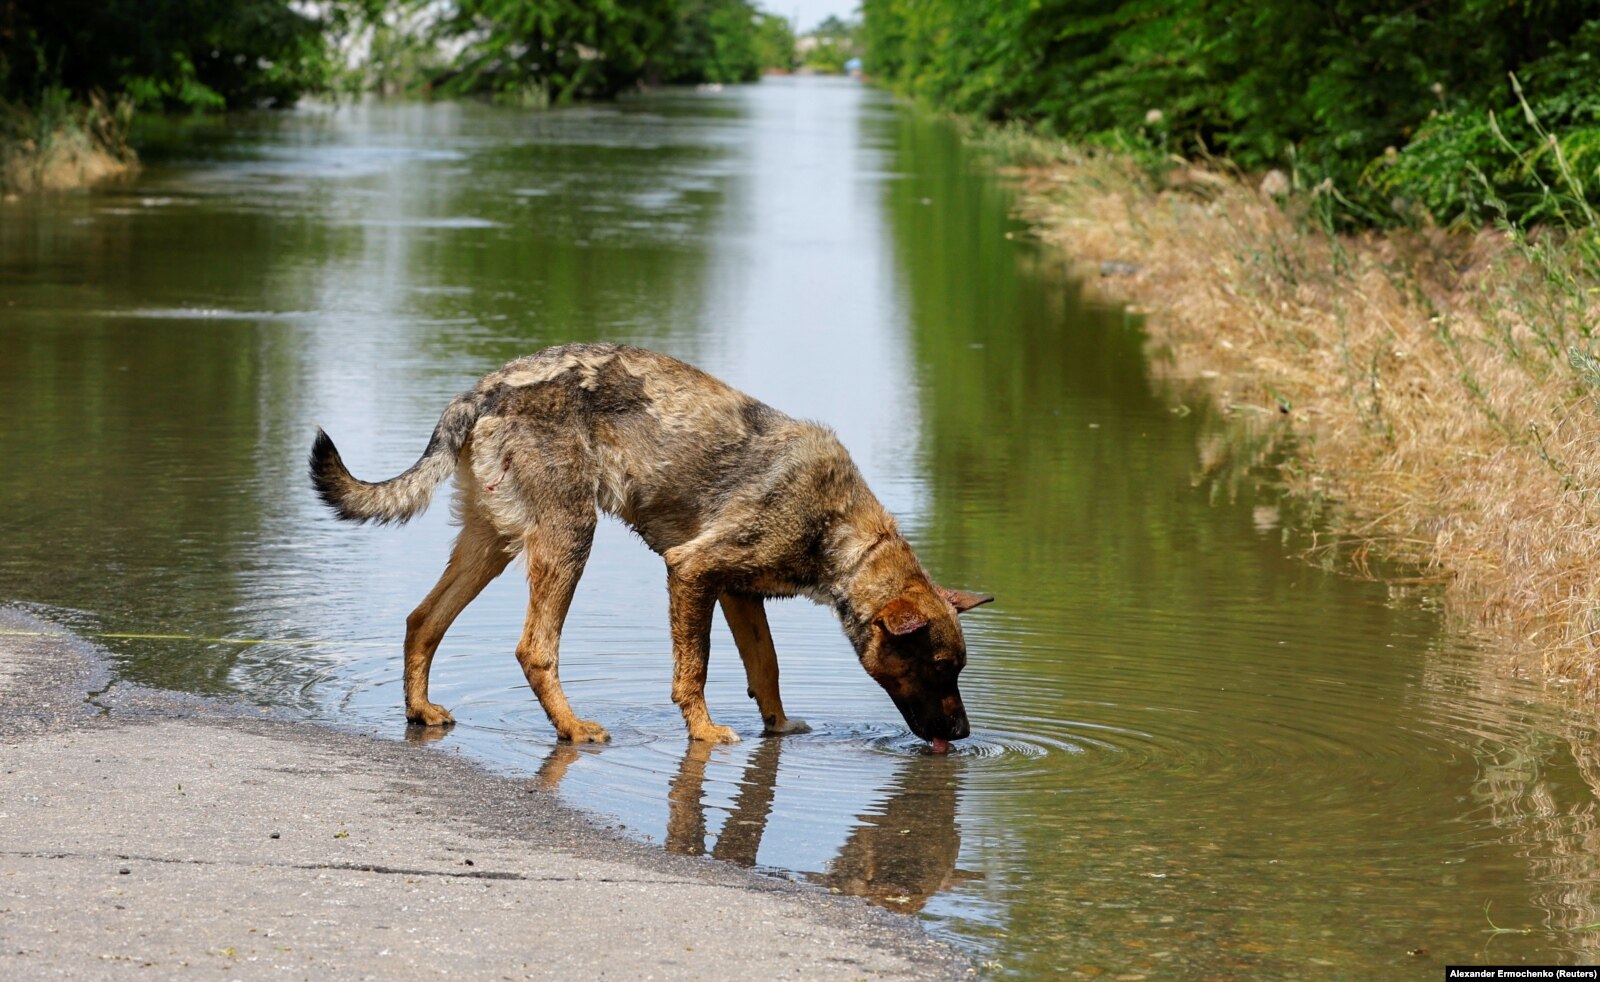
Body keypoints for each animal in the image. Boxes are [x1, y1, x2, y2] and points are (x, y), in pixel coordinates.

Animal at [305, 342, 992, 751]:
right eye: (940, 668)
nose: (963, 735)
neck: (845, 536)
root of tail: (485, 389)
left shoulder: (738, 594)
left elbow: (765, 667)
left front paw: (777, 725)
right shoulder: (692, 573)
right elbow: (695, 670)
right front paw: (704, 731)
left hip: (492, 543)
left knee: (423, 620)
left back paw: (420, 710)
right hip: (569, 538)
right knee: (535, 648)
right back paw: (572, 727)